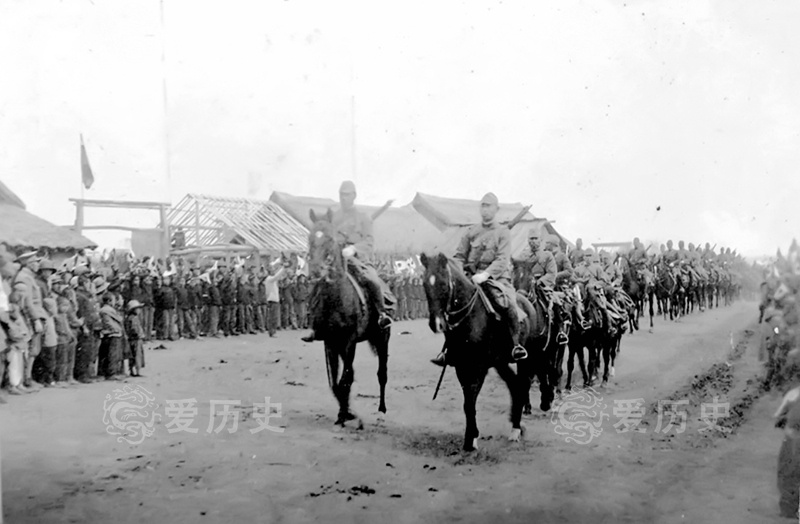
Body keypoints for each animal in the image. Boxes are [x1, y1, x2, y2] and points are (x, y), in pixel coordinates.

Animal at [306, 209, 390, 426]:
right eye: (310, 237)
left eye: (329, 238)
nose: (316, 270)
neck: (337, 298)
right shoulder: (330, 342)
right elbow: (336, 382)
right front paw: (344, 412)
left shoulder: (349, 341)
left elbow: (346, 379)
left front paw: (347, 413)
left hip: (382, 339)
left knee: (382, 374)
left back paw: (382, 409)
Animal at [422, 253, 552, 450]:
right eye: (424, 285)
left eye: (443, 284)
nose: (435, 324)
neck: (471, 318)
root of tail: (526, 301)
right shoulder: (462, 366)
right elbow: (468, 403)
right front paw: (471, 437)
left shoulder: (479, 367)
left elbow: (470, 401)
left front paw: (471, 440)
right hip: (501, 362)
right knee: (514, 384)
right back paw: (517, 424)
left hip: (528, 356)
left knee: (525, 381)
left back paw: (518, 427)